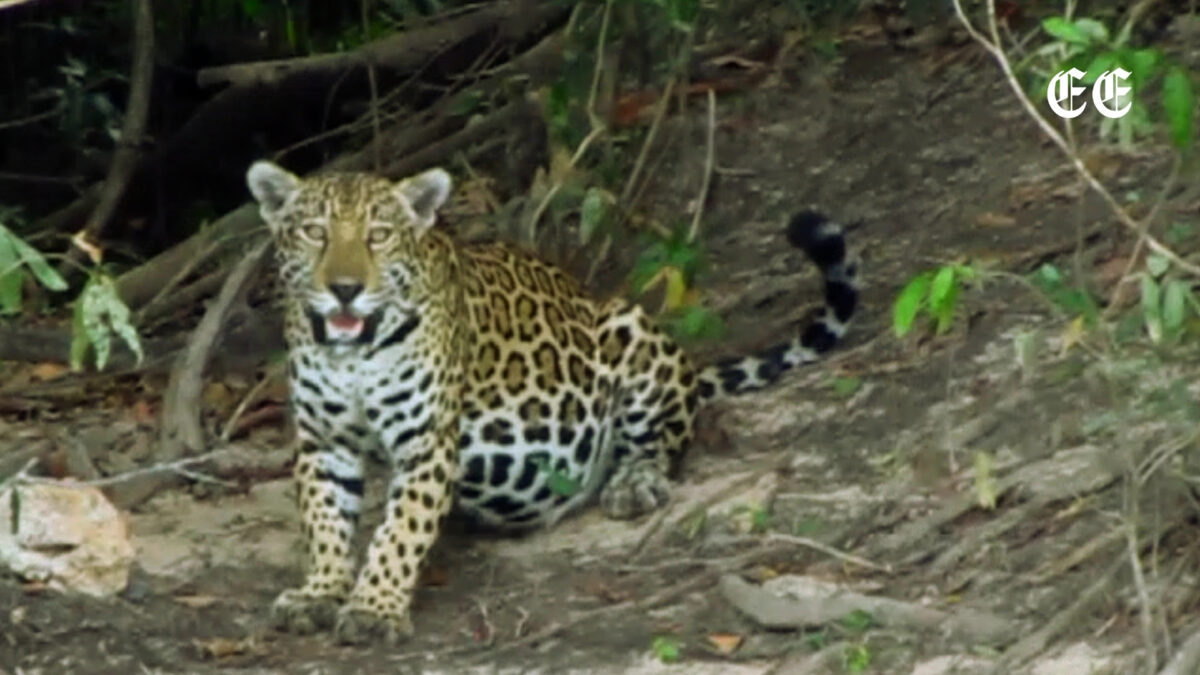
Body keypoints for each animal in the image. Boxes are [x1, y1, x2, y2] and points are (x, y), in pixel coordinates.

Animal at [245, 160, 859, 645]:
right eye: (315, 233)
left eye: (378, 235)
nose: (345, 289)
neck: (351, 353)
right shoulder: (323, 443)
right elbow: (324, 522)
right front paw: (321, 593)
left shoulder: (426, 443)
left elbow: (400, 531)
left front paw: (374, 609)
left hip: (629, 328)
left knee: (663, 439)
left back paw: (634, 482)